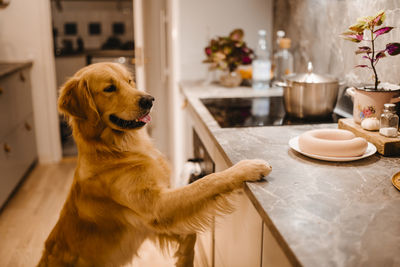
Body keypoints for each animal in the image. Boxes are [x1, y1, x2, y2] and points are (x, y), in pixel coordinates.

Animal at [37, 62, 272, 267]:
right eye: (109, 88)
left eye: (130, 81)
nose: (149, 100)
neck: (116, 149)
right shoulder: (157, 207)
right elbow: (208, 181)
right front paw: (248, 167)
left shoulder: (149, 224)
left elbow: (190, 234)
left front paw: (184, 259)